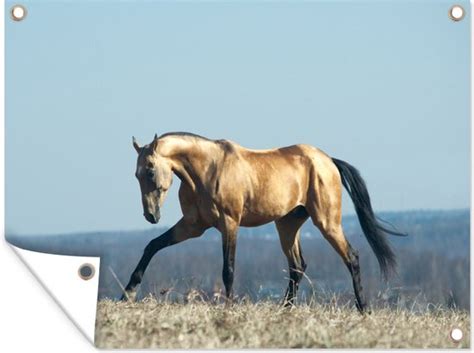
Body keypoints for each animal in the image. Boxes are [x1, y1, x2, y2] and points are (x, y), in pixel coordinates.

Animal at [122, 132, 404, 310]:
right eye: (135, 175)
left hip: (327, 222)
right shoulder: (193, 226)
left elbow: (228, 269)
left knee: (351, 257)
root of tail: (329, 161)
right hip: (287, 225)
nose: (151, 215)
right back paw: (284, 309)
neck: (207, 170)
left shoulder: (229, 224)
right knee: (297, 266)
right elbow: (152, 246)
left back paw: (363, 308)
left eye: (150, 170)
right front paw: (128, 293)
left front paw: (229, 308)